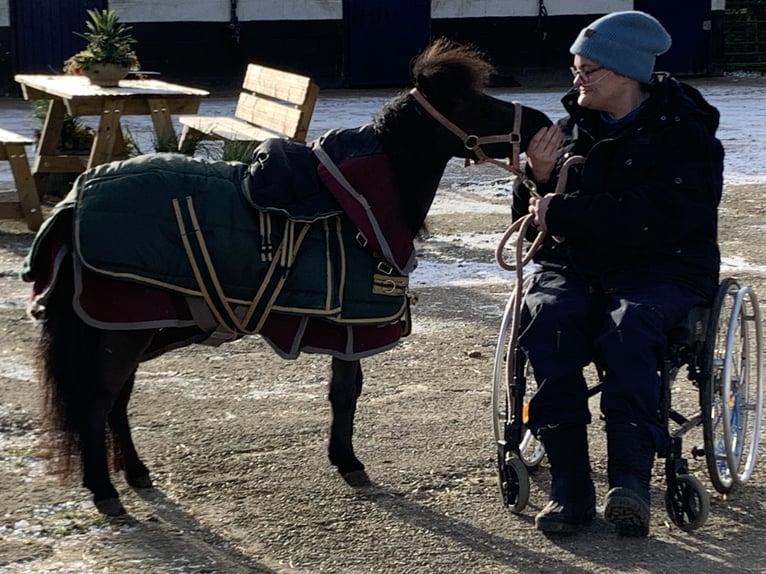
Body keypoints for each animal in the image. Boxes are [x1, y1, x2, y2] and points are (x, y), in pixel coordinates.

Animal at [24, 40, 552, 516]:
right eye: (472, 103)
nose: (541, 124)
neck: (359, 210)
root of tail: (74, 204)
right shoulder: (352, 331)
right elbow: (345, 394)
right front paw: (349, 462)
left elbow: (347, 393)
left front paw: (343, 458)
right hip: (124, 333)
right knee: (98, 401)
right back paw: (104, 490)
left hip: (135, 328)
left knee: (117, 400)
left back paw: (135, 473)